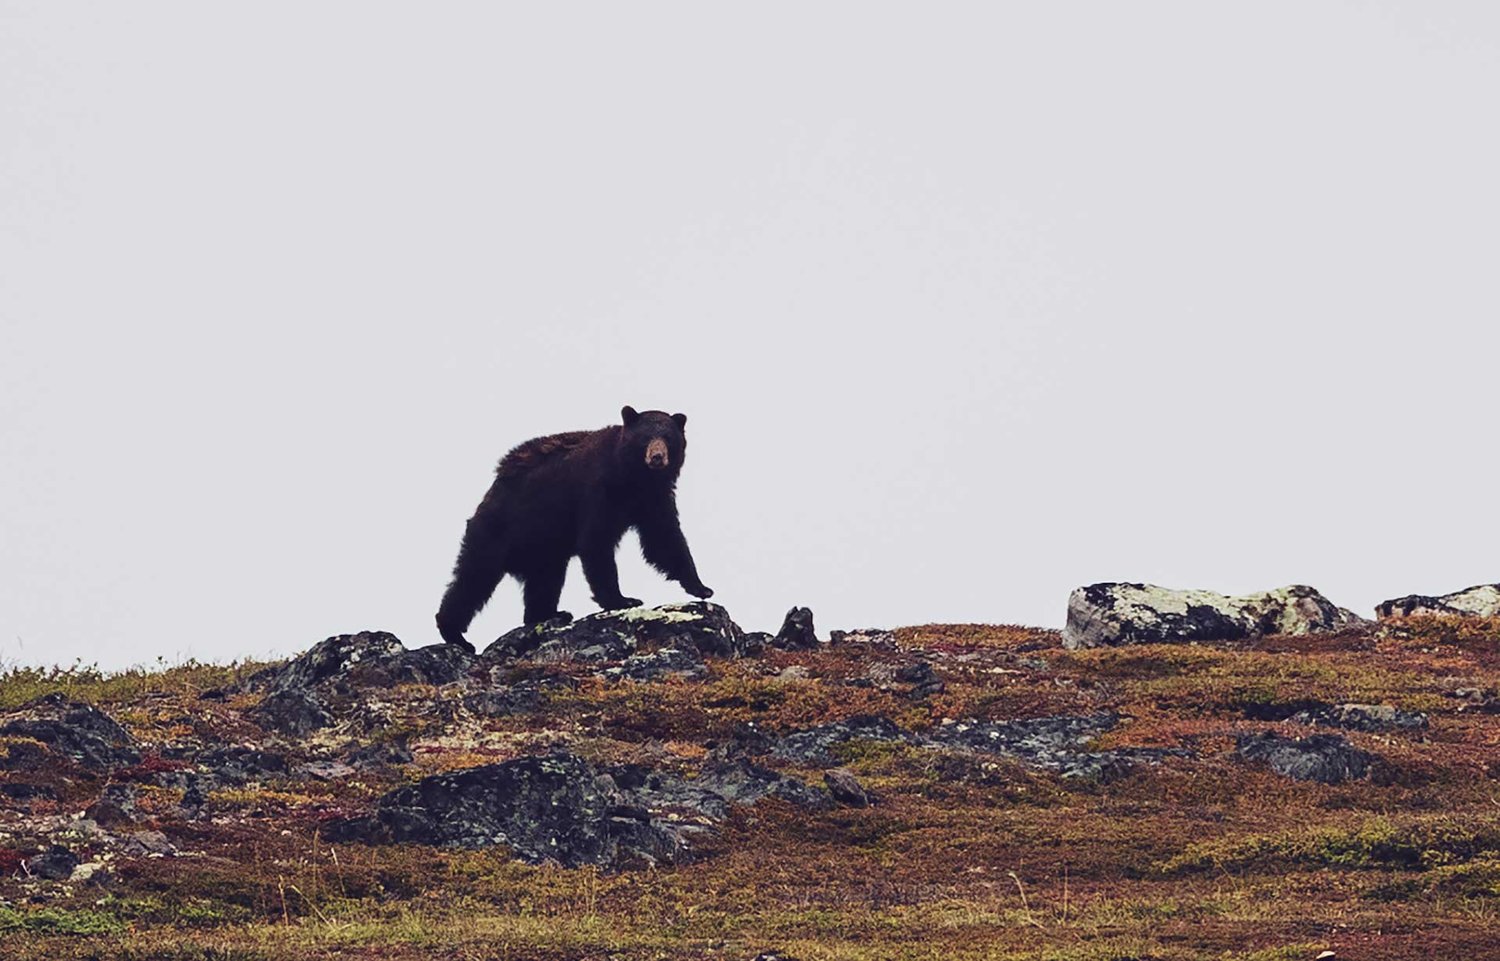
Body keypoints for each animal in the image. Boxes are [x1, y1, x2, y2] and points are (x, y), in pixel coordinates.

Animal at [435, 406, 714, 653]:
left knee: (545, 580)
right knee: (473, 580)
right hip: (496, 532)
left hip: (544, 548)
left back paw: (550, 614)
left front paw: (701, 587)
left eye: (668, 438)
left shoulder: (654, 498)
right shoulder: (598, 491)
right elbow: (597, 542)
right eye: (645, 437)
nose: (657, 457)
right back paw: (456, 634)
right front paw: (621, 599)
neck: (632, 479)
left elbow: (664, 539)